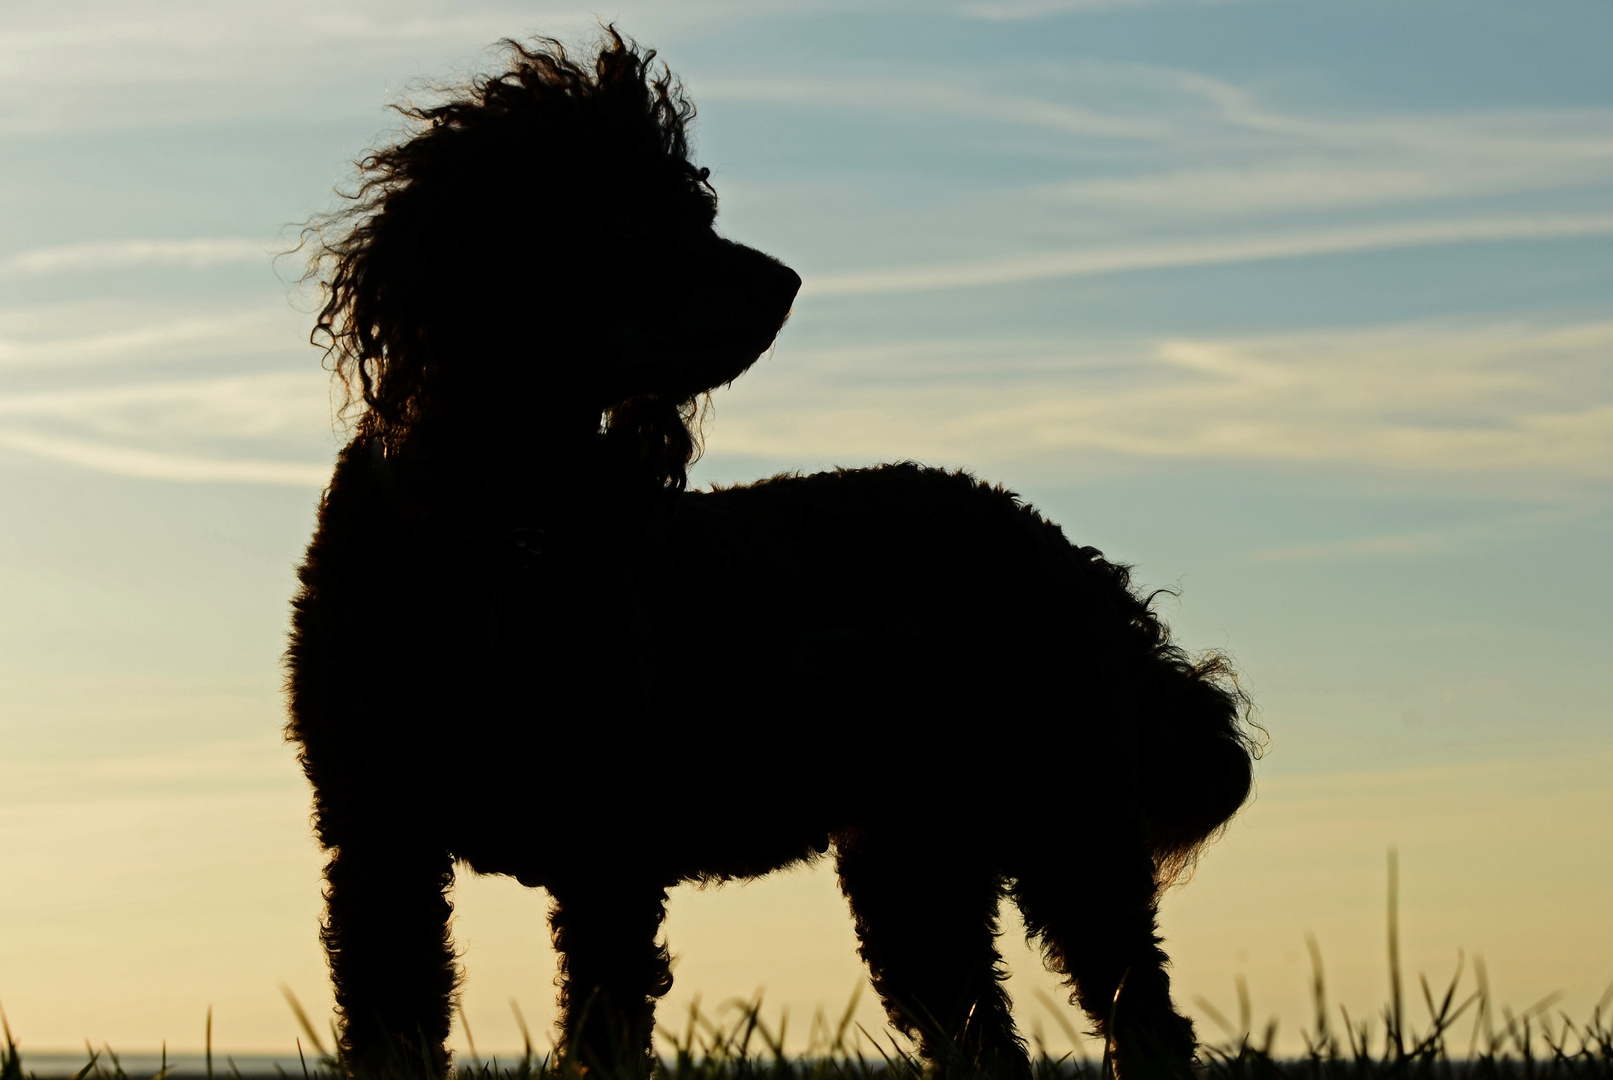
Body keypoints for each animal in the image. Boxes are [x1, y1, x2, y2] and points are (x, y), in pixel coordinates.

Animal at [287, 29, 1258, 1080]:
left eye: (697, 206)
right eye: (624, 217)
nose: (787, 282)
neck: (502, 528)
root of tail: (1071, 555)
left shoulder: (607, 852)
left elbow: (604, 1028)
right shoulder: (380, 844)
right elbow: (391, 1024)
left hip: (1063, 813)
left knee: (1143, 1017)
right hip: (917, 859)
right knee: (982, 1033)